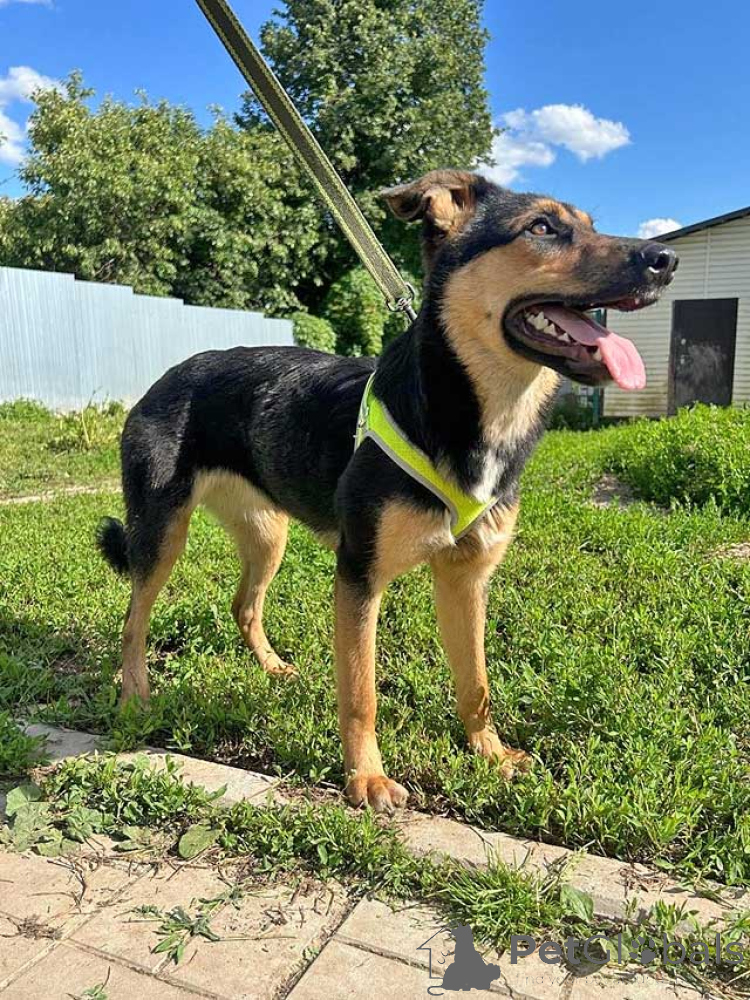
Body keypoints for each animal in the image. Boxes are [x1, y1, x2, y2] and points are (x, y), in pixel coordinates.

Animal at [97, 170, 677, 812]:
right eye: (542, 227)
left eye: (592, 226)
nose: (665, 260)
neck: (471, 414)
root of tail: (165, 377)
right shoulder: (359, 576)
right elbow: (360, 693)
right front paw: (366, 779)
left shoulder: (465, 579)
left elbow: (476, 683)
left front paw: (490, 754)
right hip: (162, 533)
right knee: (133, 619)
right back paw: (134, 698)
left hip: (267, 533)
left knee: (242, 604)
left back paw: (272, 669)